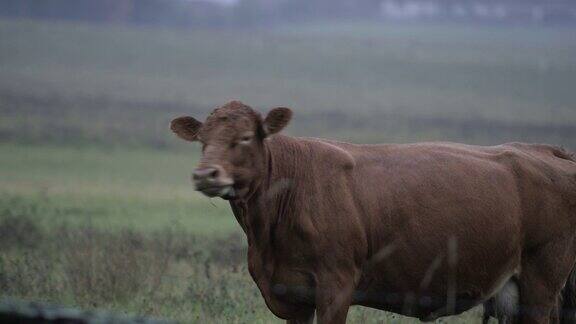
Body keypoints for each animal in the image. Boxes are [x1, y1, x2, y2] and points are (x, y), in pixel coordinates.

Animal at [171, 101, 576, 324]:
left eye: (244, 138)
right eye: (202, 140)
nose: (205, 174)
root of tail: (546, 150)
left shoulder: (336, 286)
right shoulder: (293, 294)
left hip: (542, 281)